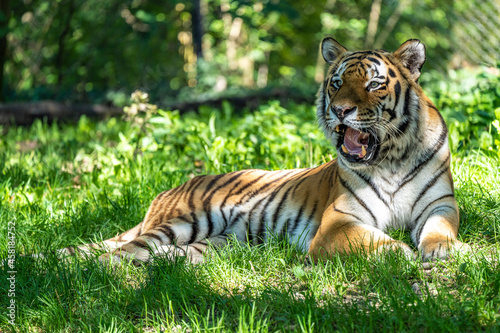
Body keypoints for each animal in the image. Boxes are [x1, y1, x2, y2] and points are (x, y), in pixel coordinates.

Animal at [44, 37, 468, 264]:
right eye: (336, 83)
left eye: (374, 84)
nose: (340, 110)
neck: (390, 159)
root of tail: (166, 190)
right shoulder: (339, 221)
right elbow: (376, 241)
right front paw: (404, 254)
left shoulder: (439, 205)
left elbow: (439, 230)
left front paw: (445, 250)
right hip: (181, 223)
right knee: (118, 253)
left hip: (216, 243)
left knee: (159, 255)